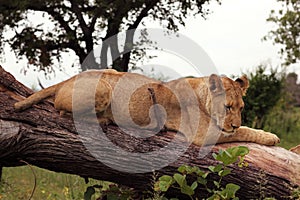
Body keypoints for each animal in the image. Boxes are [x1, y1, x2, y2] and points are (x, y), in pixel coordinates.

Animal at [14, 69, 280, 146]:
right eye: (227, 107)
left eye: (241, 107)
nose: (232, 123)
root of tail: (70, 78)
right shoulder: (203, 134)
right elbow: (245, 131)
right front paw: (271, 137)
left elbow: (243, 129)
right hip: (103, 87)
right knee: (62, 111)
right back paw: (105, 120)